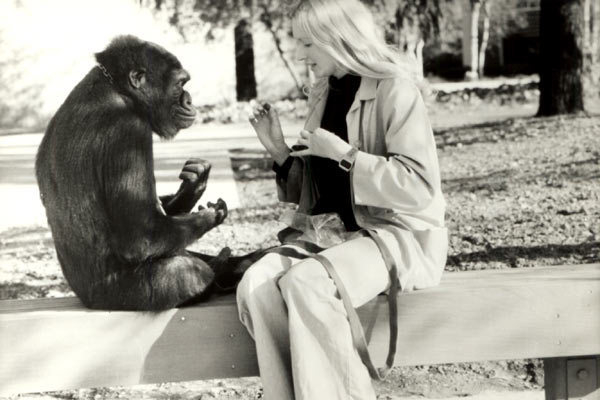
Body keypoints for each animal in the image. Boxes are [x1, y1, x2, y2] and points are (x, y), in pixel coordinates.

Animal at [35, 36, 255, 310]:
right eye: (180, 84)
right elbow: (143, 234)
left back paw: (238, 264)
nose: (190, 100)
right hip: (123, 297)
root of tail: (85, 300)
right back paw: (218, 269)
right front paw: (210, 215)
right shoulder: (129, 131)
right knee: (187, 271)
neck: (120, 91)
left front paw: (193, 185)